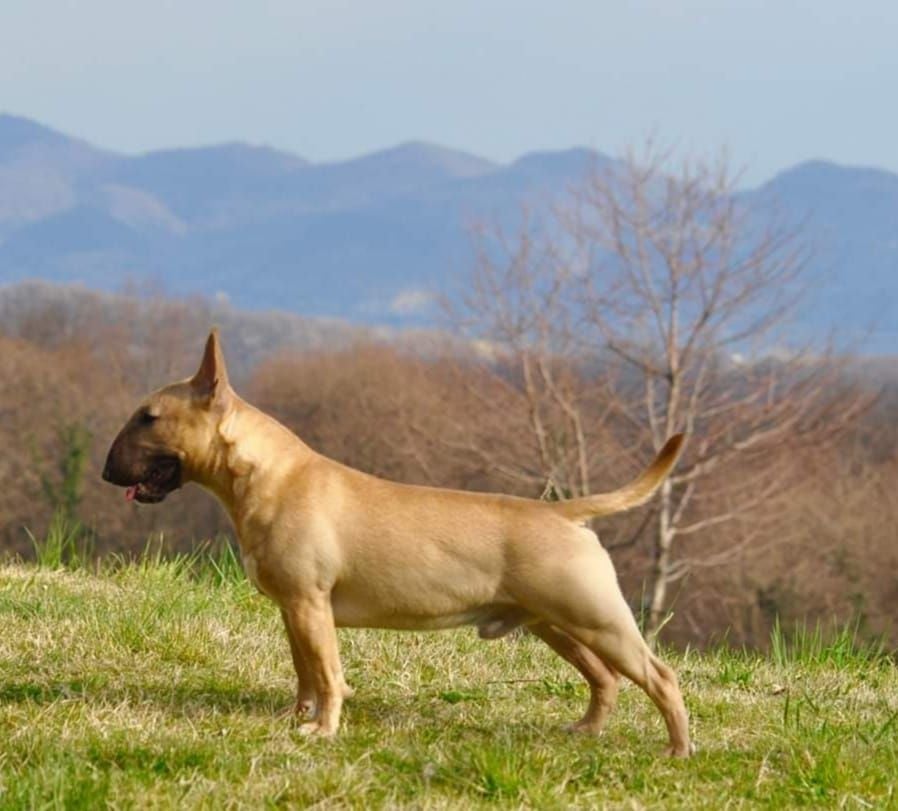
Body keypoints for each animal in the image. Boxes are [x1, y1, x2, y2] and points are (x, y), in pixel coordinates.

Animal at [107, 330, 692, 756]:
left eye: (149, 417)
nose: (107, 472)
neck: (270, 474)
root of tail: (563, 512)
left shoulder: (309, 604)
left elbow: (328, 674)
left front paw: (323, 731)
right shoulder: (295, 609)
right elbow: (304, 674)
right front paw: (297, 719)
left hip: (596, 620)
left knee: (660, 677)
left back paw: (677, 750)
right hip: (555, 625)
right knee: (605, 678)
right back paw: (588, 732)